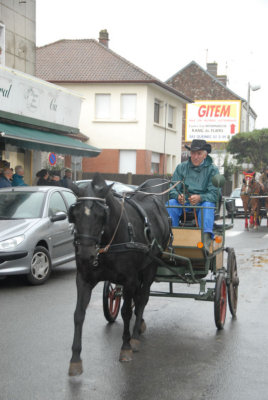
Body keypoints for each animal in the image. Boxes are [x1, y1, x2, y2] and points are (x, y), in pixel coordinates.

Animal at [68, 173, 171, 376]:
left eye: (102, 215)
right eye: (74, 215)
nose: (85, 254)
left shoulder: (129, 279)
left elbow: (126, 312)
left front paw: (126, 347)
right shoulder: (83, 279)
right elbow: (79, 314)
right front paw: (75, 358)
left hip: (150, 267)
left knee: (142, 298)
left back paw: (136, 335)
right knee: (137, 299)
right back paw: (140, 323)